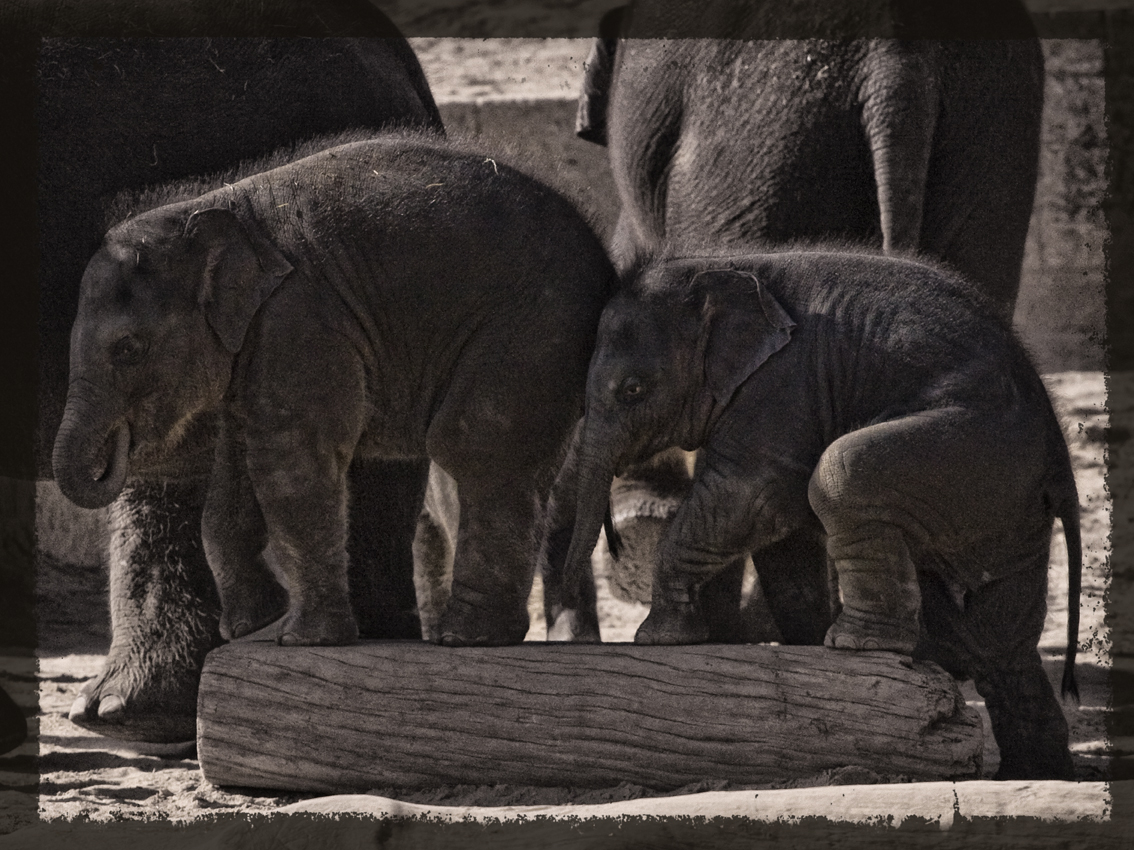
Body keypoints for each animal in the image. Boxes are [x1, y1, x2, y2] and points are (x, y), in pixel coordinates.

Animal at [55, 133, 612, 648]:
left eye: (128, 349)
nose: (120, 443)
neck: (208, 209)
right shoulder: (258, 346)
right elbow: (234, 472)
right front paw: (252, 626)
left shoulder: (301, 322)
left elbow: (292, 465)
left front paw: (303, 640)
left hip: (532, 330)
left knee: (474, 446)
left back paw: (465, 638)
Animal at [546, 249, 1079, 784]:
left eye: (633, 390)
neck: (722, 266)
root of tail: (1058, 449)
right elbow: (778, 534)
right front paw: (801, 652)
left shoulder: (780, 391)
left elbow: (749, 494)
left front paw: (658, 640)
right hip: (1007, 495)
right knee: (996, 639)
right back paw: (1034, 774)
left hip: (976, 446)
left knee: (843, 472)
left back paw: (859, 645)